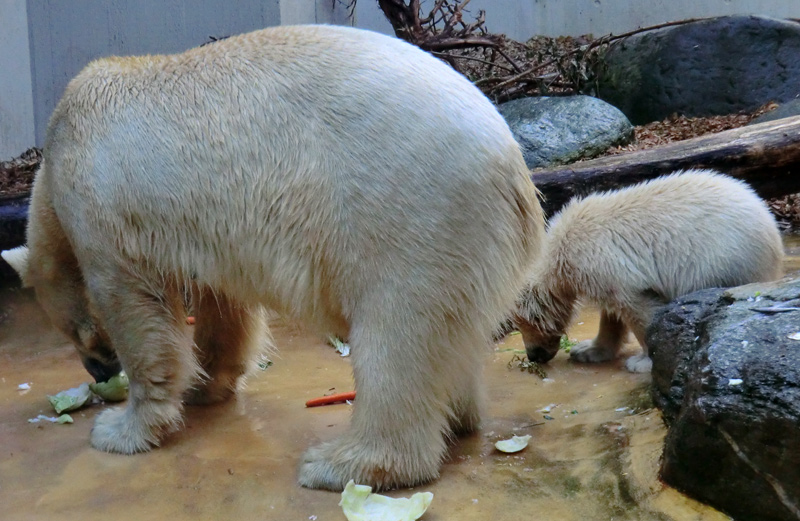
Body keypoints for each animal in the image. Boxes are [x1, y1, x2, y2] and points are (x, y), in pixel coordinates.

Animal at [1, 24, 544, 490]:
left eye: (78, 334)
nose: (97, 373)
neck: (51, 167)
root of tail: (512, 167)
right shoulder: (204, 226)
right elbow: (224, 305)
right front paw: (205, 385)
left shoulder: (103, 205)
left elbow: (135, 309)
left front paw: (122, 427)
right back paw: (457, 417)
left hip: (409, 212)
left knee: (397, 334)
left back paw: (340, 464)